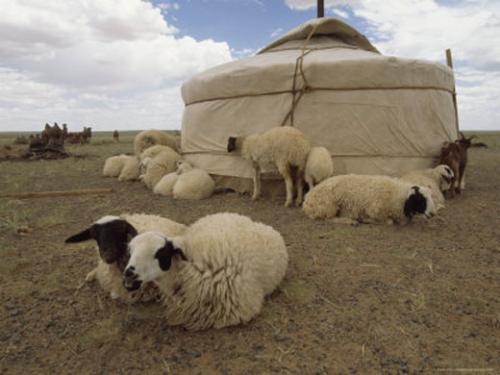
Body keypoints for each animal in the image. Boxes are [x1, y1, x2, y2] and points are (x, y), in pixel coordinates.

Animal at [302, 175, 436, 225]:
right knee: (328, 219)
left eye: (431, 196)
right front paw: (366, 220)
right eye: (420, 199)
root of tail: (306, 200)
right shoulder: (375, 210)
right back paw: (350, 221)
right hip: (328, 206)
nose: (433, 214)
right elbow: (388, 222)